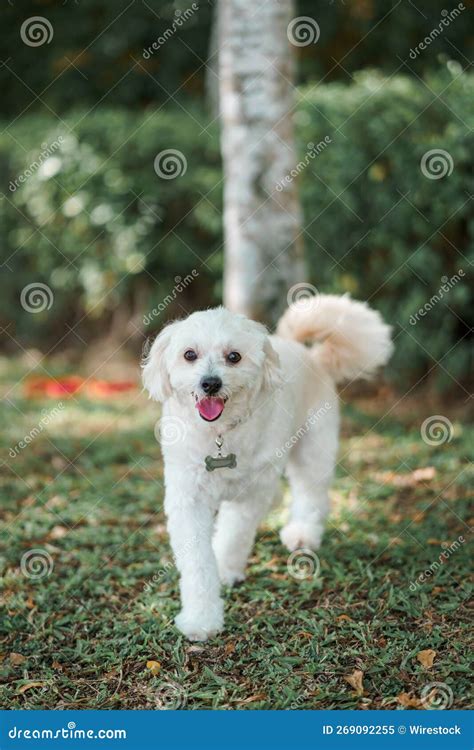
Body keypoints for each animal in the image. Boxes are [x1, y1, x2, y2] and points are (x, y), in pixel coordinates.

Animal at [141, 294, 392, 640]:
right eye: (189, 354)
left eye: (234, 356)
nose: (210, 383)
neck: (220, 435)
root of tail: (312, 355)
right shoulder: (188, 498)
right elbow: (197, 563)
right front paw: (201, 618)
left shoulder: (250, 495)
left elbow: (233, 536)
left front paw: (225, 569)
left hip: (313, 450)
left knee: (310, 493)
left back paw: (302, 533)